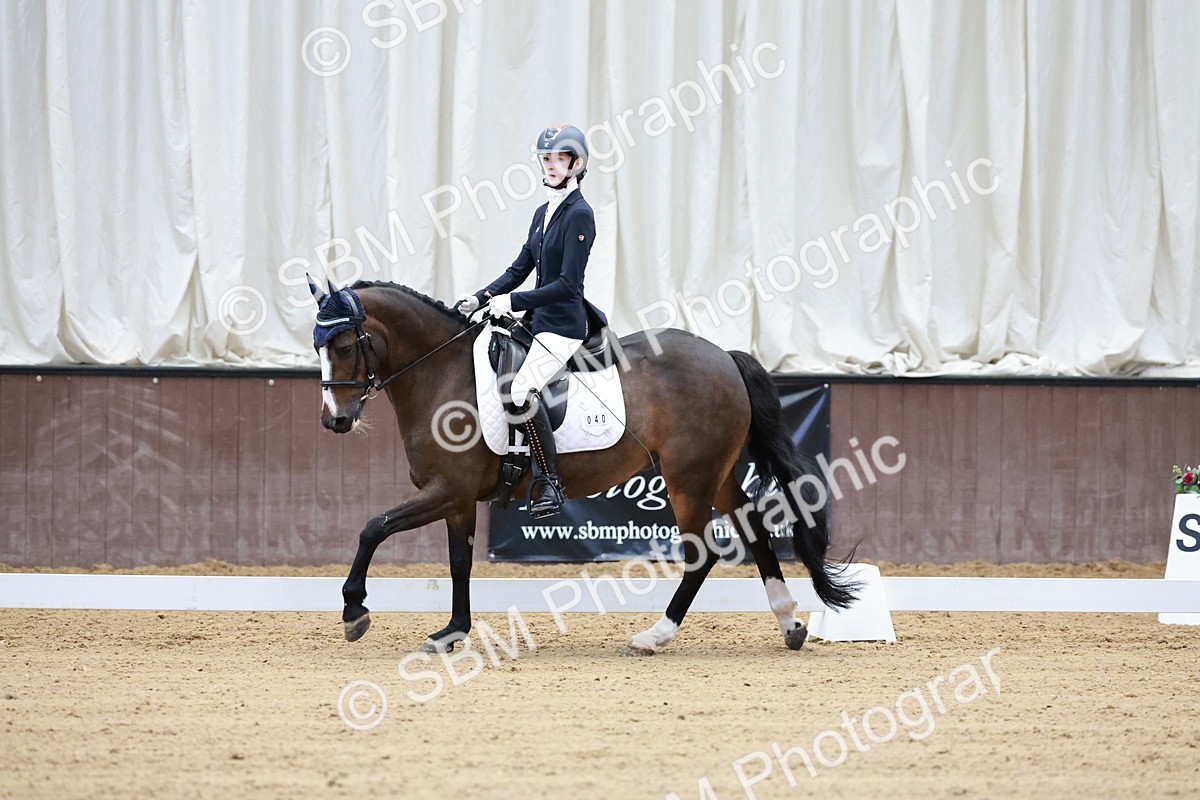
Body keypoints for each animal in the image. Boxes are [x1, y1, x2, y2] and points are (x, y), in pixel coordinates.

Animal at [313, 279, 857, 655]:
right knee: (757, 532)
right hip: (716, 476)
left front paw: (354, 608)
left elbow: (373, 527)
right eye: (318, 346)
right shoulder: (457, 498)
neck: (442, 375)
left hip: (688, 479)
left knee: (700, 554)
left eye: (344, 346)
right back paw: (790, 624)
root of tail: (724, 354)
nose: (335, 420)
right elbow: (459, 563)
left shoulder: (447, 489)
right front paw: (452, 632)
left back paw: (653, 636)